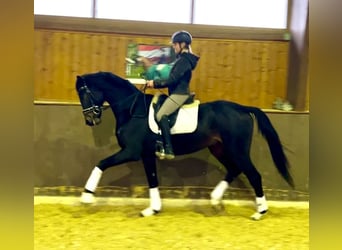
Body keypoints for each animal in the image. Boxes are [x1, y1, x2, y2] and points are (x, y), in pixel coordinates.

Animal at [75, 71, 294, 220]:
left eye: (83, 92)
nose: (90, 120)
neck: (132, 109)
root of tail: (242, 108)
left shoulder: (131, 152)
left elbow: (101, 163)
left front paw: (86, 197)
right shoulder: (147, 155)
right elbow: (152, 180)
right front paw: (152, 209)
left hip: (237, 149)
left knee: (253, 174)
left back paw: (260, 212)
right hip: (219, 148)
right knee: (234, 169)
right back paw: (215, 200)